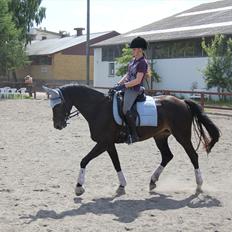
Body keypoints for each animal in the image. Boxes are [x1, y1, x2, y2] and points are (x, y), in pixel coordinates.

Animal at [43, 84, 219, 196]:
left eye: (58, 106)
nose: (57, 125)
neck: (98, 108)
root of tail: (182, 101)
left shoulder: (103, 143)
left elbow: (84, 160)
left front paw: (79, 187)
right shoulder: (108, 144)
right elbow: (116, 163)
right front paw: (121, 186)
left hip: (182, 136)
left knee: (193, 156)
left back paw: (199, 184)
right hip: (160, 136)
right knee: (167, 156)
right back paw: (153, 181)